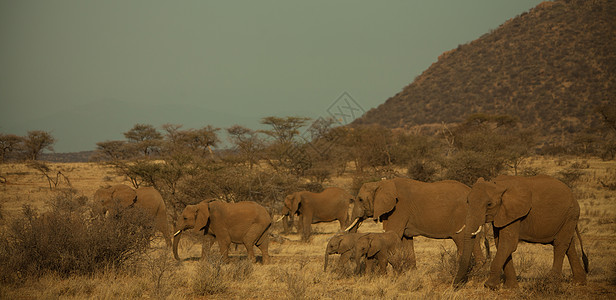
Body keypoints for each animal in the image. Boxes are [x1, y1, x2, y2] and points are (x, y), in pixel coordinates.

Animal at [346, 178, 486, 270]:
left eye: (360, 199)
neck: (381, 184)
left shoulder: (399, 209)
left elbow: (394, 234)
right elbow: (406, 239)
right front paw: (410, 272)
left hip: (461, 215)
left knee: (461, 241)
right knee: (474, 240)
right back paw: (479, 271)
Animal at [452, 175, 588, 290]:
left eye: (489, 204)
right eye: (468, 202)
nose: (456, 285)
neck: (499, 185)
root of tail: (573, 195)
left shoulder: (515, 213)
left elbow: (508, 244)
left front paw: (490, 286)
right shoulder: (502, 214)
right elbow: (501, 243)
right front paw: (511, 288)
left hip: (571, 214)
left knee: (560, 244)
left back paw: (551, 284)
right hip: (567, 217)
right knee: (569, 245)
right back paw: (579, 283)